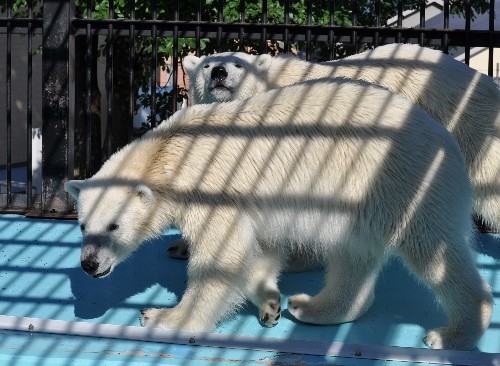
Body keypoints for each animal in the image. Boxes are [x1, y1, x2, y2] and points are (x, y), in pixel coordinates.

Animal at [66, 78, 492, 350]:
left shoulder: (213, 188)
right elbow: (262, 248)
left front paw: (162, 318)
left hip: (402, 183)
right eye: (84, 226)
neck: (171, 155)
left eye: (113, 226)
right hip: (361, 202)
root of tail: (448, 143)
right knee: (353, 257)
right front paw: (270, 303)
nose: (90, 264)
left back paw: (452, 334)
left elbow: (221, 256)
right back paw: (311, 306)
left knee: (433, 251)